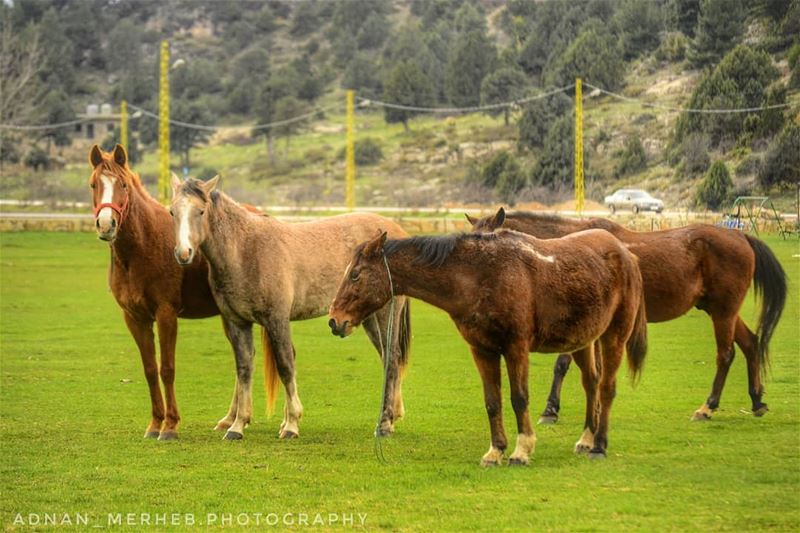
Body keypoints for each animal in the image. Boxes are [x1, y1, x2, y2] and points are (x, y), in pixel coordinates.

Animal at [88, 143, 222, 438]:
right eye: (93, 184)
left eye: (123, 184)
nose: (106, 225)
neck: (143, 246)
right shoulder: (135, 318)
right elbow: (150, 369)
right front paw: (155, 423)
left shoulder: (166, 315)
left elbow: (167, 368)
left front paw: (170, 426)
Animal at [173, 177, 416, 438]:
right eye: (172, 212)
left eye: (201, 211)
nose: (183, 253)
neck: (247, 250)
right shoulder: (237, 322)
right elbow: (244, 369)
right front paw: (237, 426)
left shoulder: (277, 319)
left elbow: (286, 366)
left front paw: (291, 423)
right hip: (367, 317)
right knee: (388, 358)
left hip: (384, 314)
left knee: (392, 359)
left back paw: (386, 423)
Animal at [328, 231, 648, 464]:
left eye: (355, 275)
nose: (335, 320)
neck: (483, 275)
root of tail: (626, 253)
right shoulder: (482, 350)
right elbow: (492, 401)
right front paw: (496, 451)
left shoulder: (516, 348)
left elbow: (519, 398)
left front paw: (522, 450)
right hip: (583, 340)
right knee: (592, 384)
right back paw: (586, 439)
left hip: (614, 337)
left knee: (606, 388)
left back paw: (599, 446)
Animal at [468, 209, 788, 424]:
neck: (560, 253)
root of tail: (740, 235)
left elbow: (562, 365)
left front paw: (550, 409)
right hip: (720, 310)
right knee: (751, 344)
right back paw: (757, 400)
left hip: (723, 311)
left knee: (726, 354)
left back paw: (708, 406)